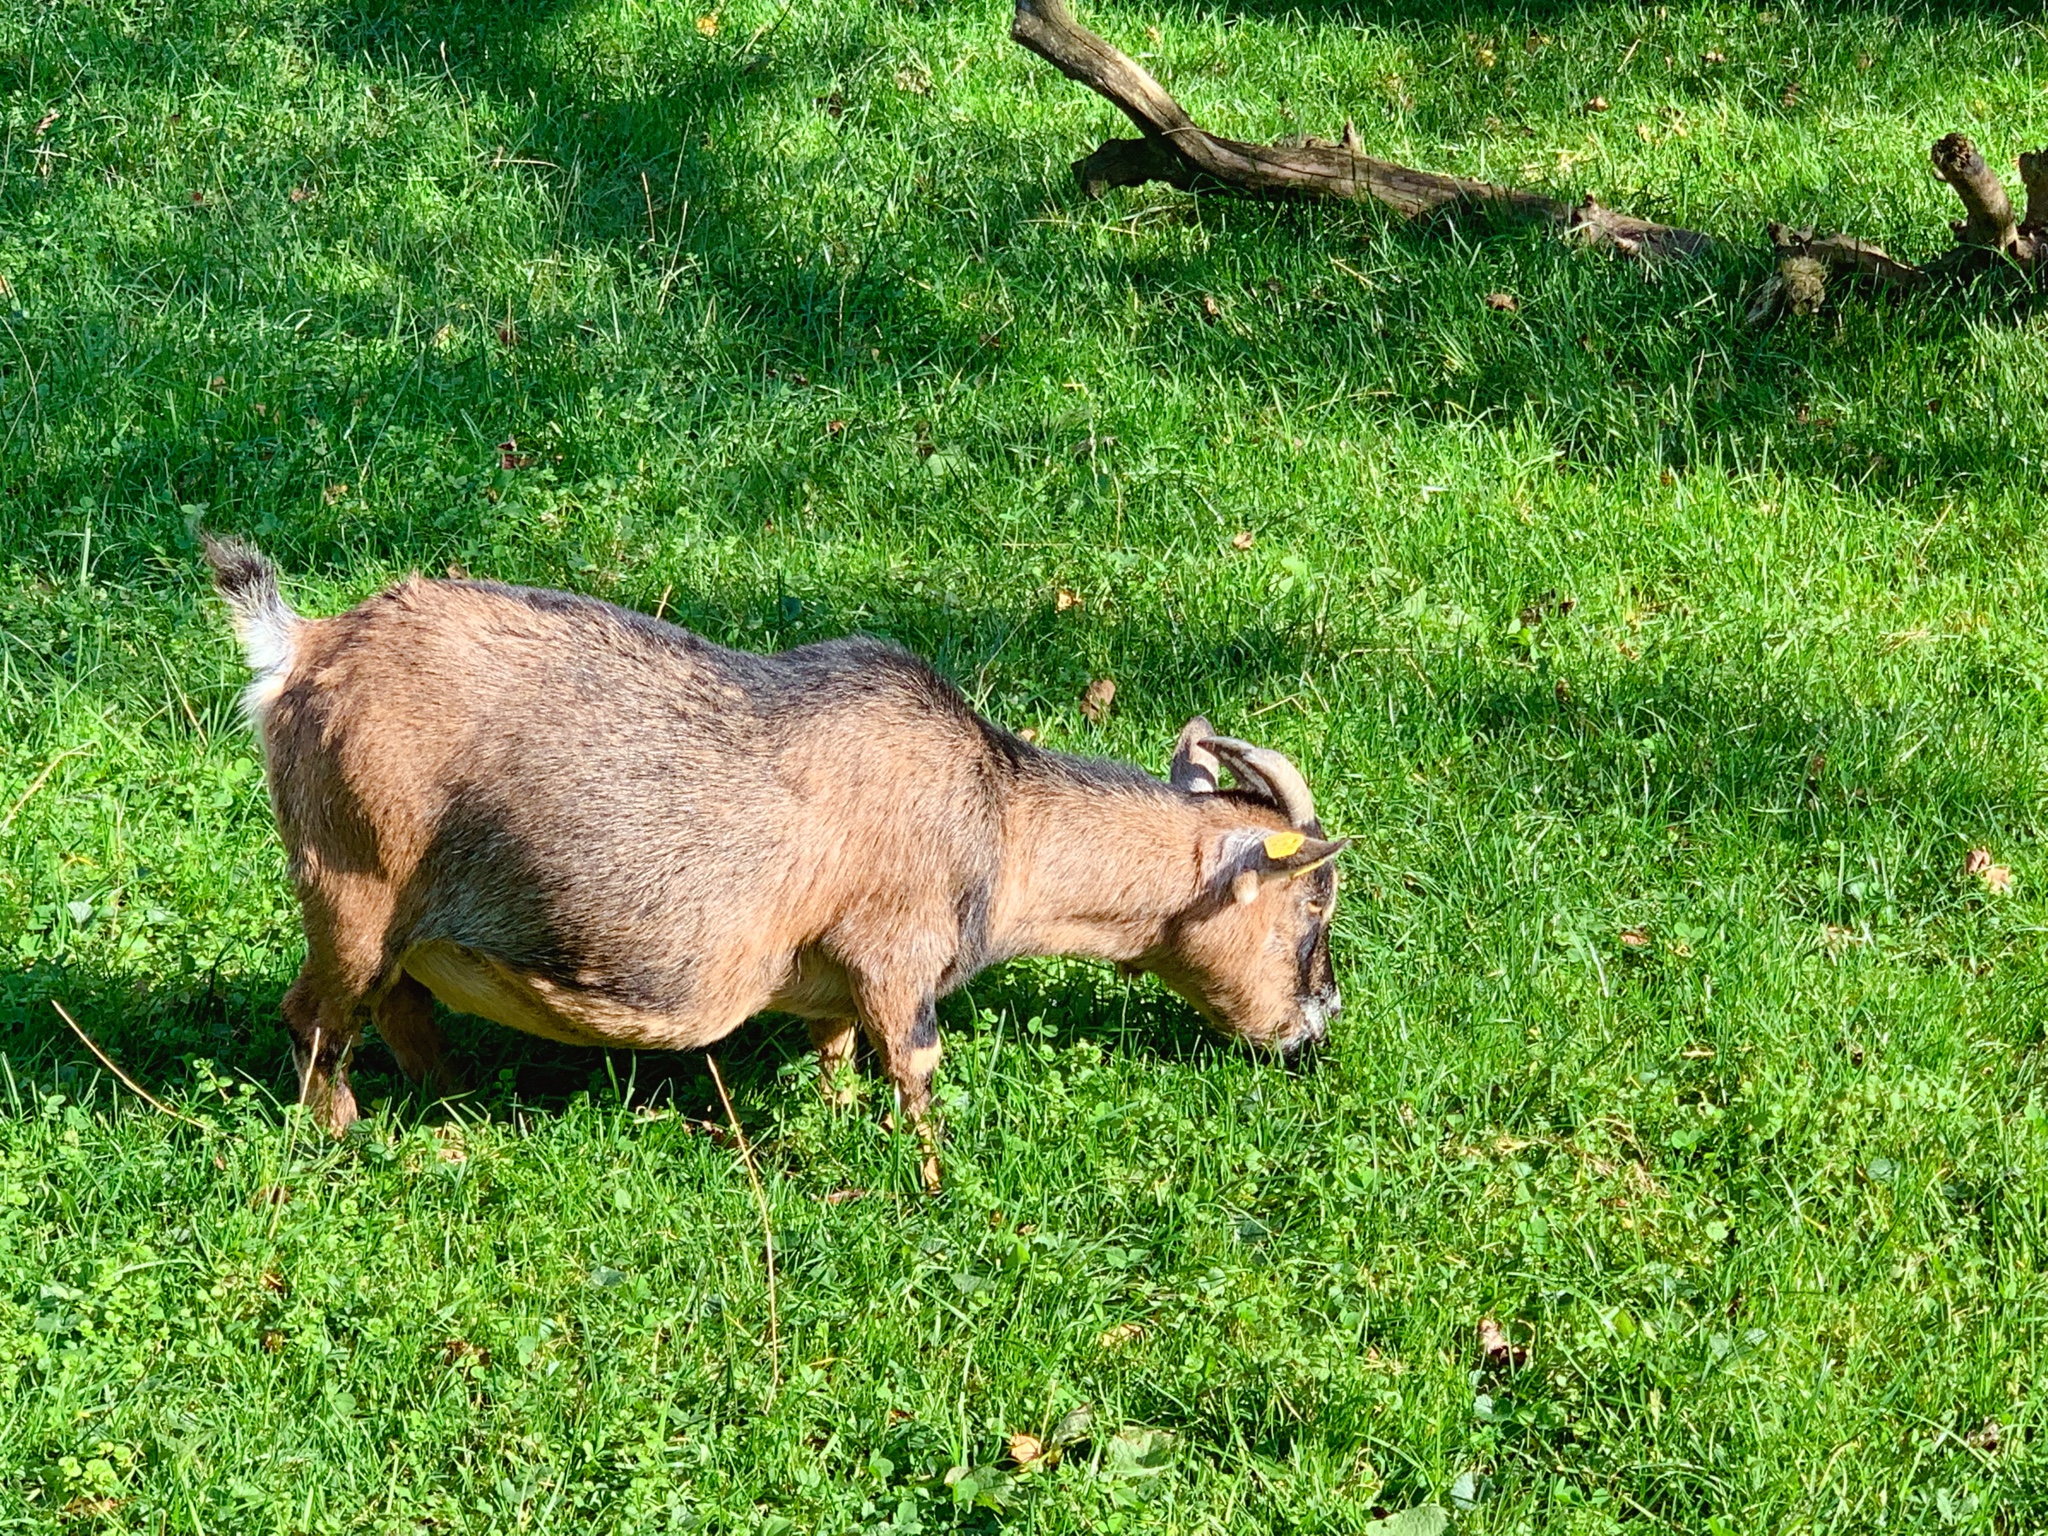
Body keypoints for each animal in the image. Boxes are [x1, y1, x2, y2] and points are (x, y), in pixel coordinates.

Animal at [203, 536, 1343, 1187]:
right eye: (1313, 907)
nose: (1317, 1024)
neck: (1000, 821)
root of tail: (301, 648)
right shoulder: (897, 954)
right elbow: (914, 1066)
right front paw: (929, 1180)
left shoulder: (837, 974)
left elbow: (835, 1050)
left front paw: (834, 1124)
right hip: (353, 880)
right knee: (317, 1017)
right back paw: (347, 1140)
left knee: (398, 1006)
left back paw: (455, 1102)